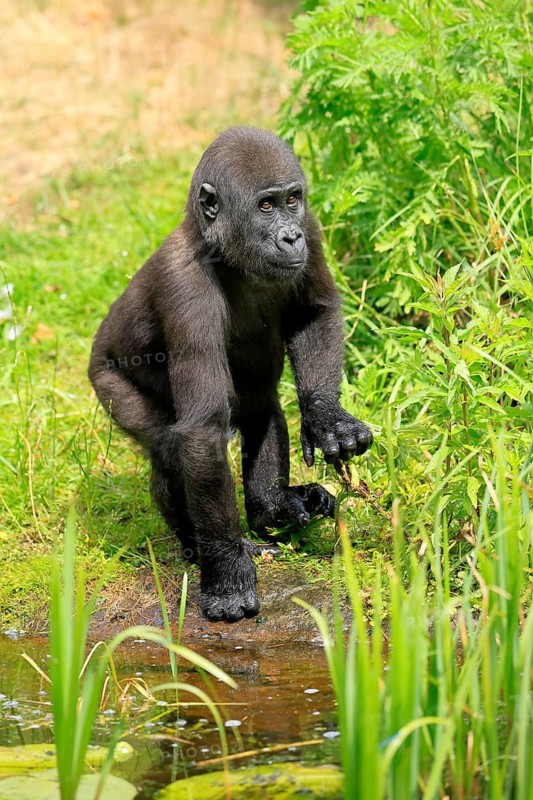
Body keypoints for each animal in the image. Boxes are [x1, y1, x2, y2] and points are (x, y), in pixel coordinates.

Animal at [89, 126, 373, 623]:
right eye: (265, 206)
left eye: (292, 200)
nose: (291, 238)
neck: (220, 248)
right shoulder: (185, 287)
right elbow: (202, 433)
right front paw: (226, 574)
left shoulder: (313, 227)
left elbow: (314, 313)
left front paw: (326, 417)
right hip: (106, 380)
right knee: (169, 447)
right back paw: (202, 547)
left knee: (261, 410)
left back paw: (272, 510)